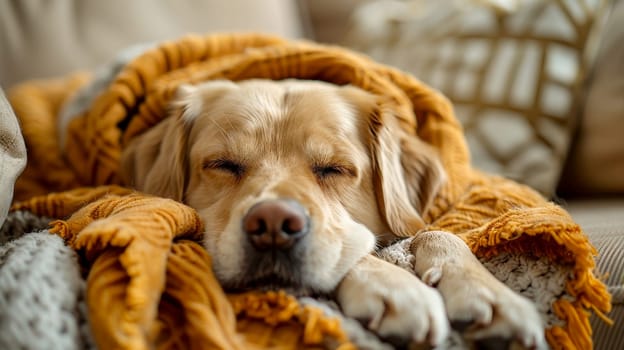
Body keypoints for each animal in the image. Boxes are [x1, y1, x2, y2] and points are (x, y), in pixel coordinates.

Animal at [119, 80, 544, 350]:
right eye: (223, 164)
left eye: (334, 169)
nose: (272, 224)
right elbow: (353, 247)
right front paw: (395, 286)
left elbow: (437, 232)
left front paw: (486, 292)